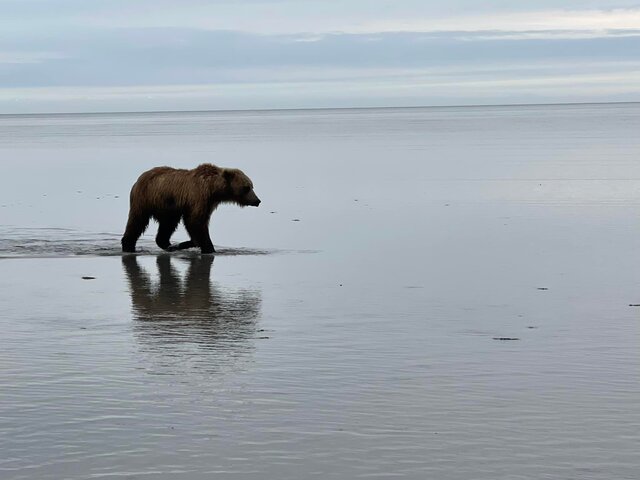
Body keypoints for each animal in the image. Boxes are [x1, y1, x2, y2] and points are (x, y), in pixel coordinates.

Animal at [120, 163, 260, 253]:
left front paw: (190, 243)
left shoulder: (207, 203)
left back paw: (169, 245)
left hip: (168, 208)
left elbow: (194, 223)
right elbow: (196, 222)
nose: (257, 201)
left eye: (252, 186)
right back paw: (128, 246)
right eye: (246, 187)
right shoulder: (198, 198)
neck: (214, 190)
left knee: (167, 225)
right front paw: (208, 247)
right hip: (146, 200)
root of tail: (137, 180)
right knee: (137, 221)